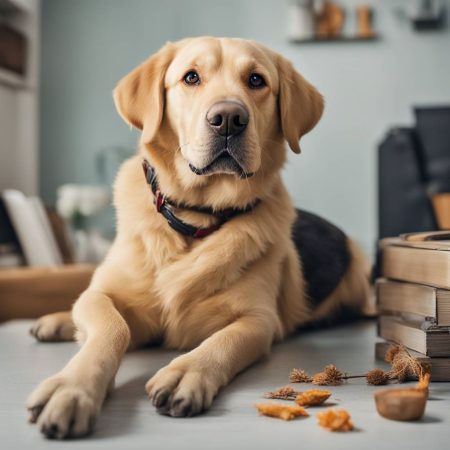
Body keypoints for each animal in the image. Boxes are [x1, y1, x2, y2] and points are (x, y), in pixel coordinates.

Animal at [26, 37, 370, 438]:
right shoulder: (101, 294)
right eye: (191, 77)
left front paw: (186, 372)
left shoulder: (258, 320)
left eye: (256, 80)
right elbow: (113, 327)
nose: (229, 119)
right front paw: (72, 387)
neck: (196, 217)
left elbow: (222, 341)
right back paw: (56, 320)